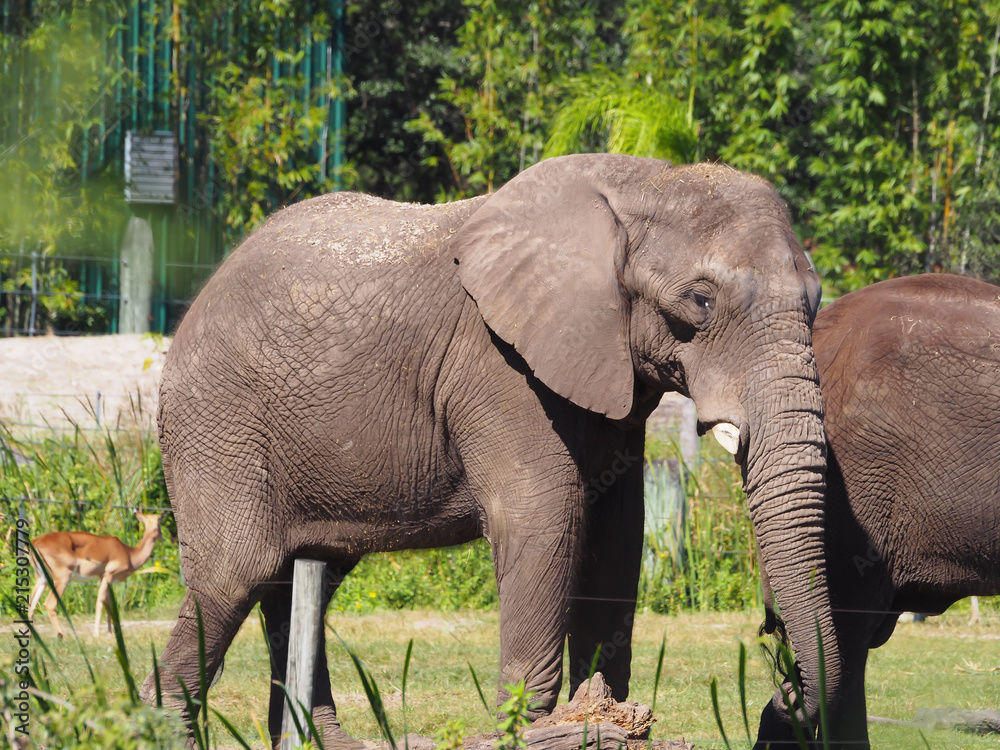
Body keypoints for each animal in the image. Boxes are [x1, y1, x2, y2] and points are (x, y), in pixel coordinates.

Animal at [137, 153, 838, 748]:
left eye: (816, 301)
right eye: (701, 301)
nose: (787, 697)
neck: (644, 182)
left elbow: (617, 535)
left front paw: (600, 715)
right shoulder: (496, 365)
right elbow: (545, 514)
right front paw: (531, 730)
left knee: (301, 579)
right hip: (216, 414)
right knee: (238, 570)